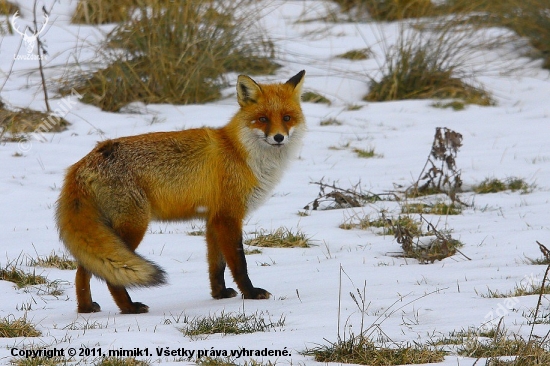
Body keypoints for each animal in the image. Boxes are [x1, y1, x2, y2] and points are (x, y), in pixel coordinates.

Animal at [56, 70, 308, 314]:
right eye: (263, 119)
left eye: (287, 118)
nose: (278, 137)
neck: (240, 153)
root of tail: (82, 163)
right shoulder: (228, 216)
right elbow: (239, 263)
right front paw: (251, 293)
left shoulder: (213, 219)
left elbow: (216, 265)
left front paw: (219, 294)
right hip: (132, 228)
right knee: (110, 275)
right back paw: (129, 307)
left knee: (85, 269)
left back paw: (86, 308)